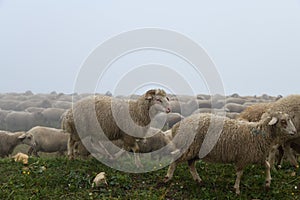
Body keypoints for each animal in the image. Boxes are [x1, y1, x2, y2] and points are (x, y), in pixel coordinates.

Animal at [164, 111, 298, 195]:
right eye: (283, 121)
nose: (294, 132)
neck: (259, 134)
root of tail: (177, 125)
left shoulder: (256, 156)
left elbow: (268, 165)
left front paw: (268, 183)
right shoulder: (242, 158)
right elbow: (239, 174)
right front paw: (237, 190)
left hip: (195, 151)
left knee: (191, 165)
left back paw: (199, 180)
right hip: (187, 147)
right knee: (175, 159)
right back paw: (168, 178)